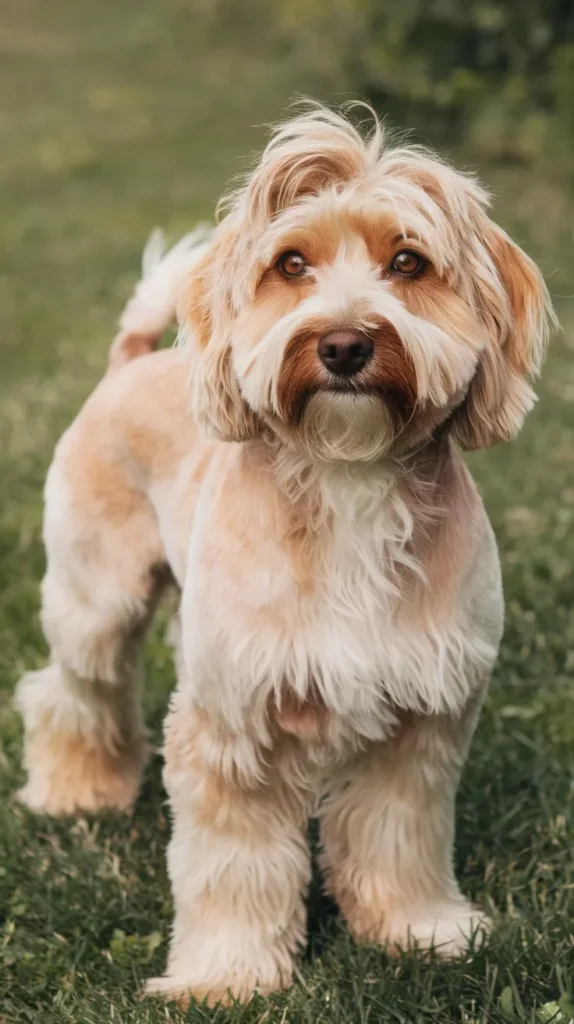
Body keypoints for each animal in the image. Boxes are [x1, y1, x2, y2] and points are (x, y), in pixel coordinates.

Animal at [16, 105, 556, 1007]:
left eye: (408, 262)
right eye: (290, 264)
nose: (342, 344)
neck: (348, 478)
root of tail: (135, 361)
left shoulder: (423, 717)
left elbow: (400, 834)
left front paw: (418, 930)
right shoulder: (231, 723)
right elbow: (231, 867)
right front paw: (225, 976)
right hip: (96, 598)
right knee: (73, 693)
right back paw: (76, 792)